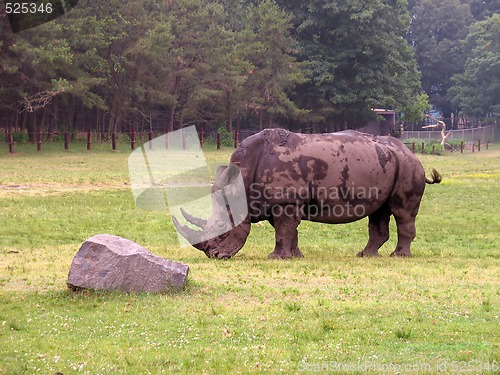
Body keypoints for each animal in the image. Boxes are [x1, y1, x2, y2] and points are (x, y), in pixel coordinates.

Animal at [173, 129, 442, 258]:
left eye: (221, 227)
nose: (215, 256)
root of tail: (410, 151)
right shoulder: (280, 202)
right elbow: (289, 231)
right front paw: (295, 256)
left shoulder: (285, 201)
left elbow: (283, 230)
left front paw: (276, 258)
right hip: (386, 162)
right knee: (379, 212)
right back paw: (366, 255)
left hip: (407, 165)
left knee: (401, 211)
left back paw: (399, 256)